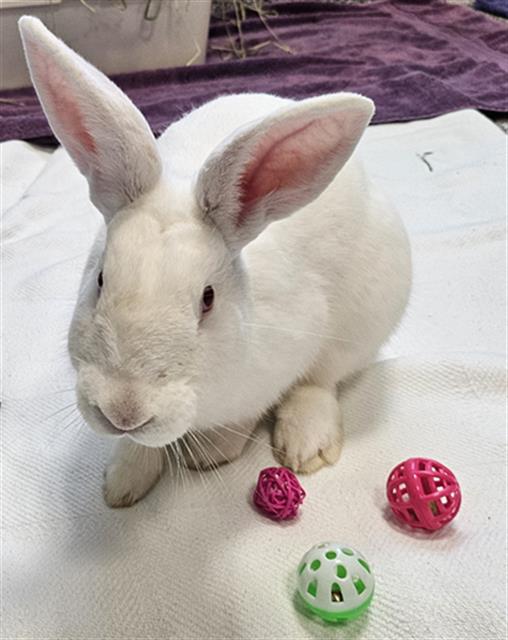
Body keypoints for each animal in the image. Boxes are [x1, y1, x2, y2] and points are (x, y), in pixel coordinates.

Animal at [18, 16, 412, 504]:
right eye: (100, 280)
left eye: (207, 300)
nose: (124, 412)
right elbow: (141, 451)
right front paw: (122, 483)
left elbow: (258, 407)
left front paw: (211, 452)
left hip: (369, 313)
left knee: (323, 379)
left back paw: (307, 444)